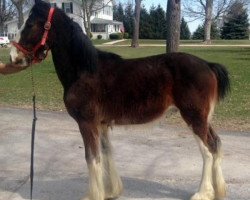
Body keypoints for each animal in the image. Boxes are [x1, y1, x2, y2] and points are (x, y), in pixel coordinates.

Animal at [9, 0, 229, 199]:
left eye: (30, 24)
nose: (13, 56)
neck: (85, 70)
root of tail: (208, 65)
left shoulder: (87, 123)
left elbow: (92, 158)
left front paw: (94, 195)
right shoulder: (102, 125)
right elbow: (107, 154)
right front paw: (111, 191)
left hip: (194, 118)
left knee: (208, 151)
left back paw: (202, 193)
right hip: (204, 119)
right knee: (217, 145)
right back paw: (218, 191)